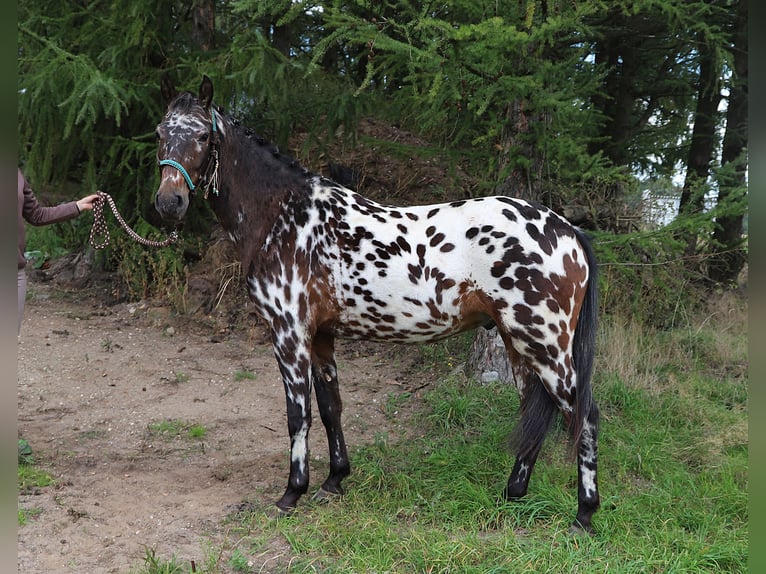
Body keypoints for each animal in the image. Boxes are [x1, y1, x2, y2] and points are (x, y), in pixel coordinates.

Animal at [153, 75, 601, 534]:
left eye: (202, 136)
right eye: (159, 134)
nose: (168, 203)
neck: (283, 216)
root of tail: (569, 232)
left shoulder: (289, 334)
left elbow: (298, 415)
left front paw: (292, 492)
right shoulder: (321, 336)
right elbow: (330, 408)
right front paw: (334, 480)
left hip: (546, 347)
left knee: (584, 417)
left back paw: (584, 514)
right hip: (519, 345)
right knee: (534, 412)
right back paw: (513, 495)